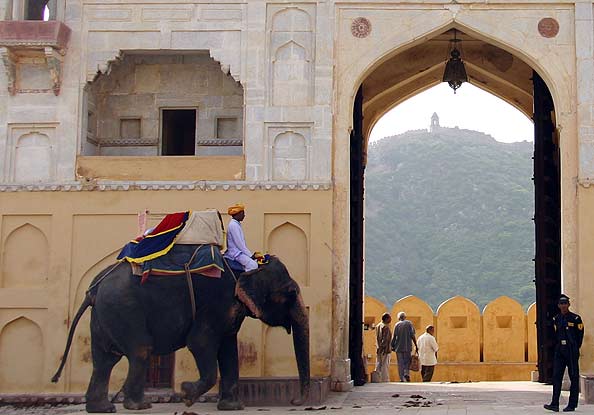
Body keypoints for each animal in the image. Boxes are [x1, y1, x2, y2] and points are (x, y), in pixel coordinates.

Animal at [52, 256, 310, 412]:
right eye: (290, 293)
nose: (295, 401)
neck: (246, 269)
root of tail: (93, 289)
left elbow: (228, 350)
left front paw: (232, 407)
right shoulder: (216, 302)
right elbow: (200, 343)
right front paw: (187, 393)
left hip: (104, 315)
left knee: (104, 360)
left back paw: (103, 408)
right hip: (124, 308)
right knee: (140, 350)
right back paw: (140, 406)